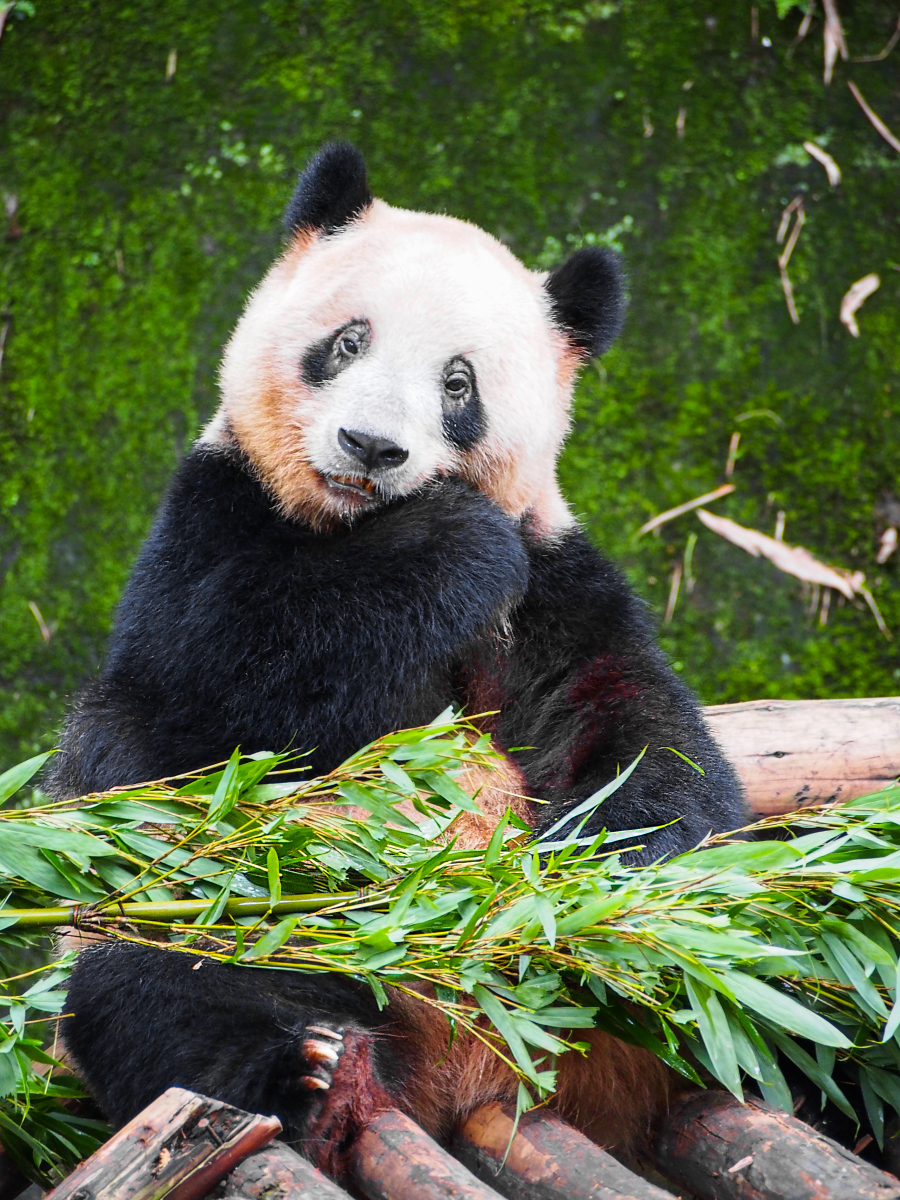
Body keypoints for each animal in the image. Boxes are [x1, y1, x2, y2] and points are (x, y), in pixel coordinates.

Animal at [52, 142, 748, 1180]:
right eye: (348, 342)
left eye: (459, 383)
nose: (370, 445)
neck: (354, 523)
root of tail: (470, 1071)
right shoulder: (213, 513)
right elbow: (217, 674)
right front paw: (451, 540)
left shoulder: (551, 583)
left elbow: (620, 715)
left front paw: (632, 882)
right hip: (239, 910)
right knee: (160, 976)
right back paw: (301, 1074)